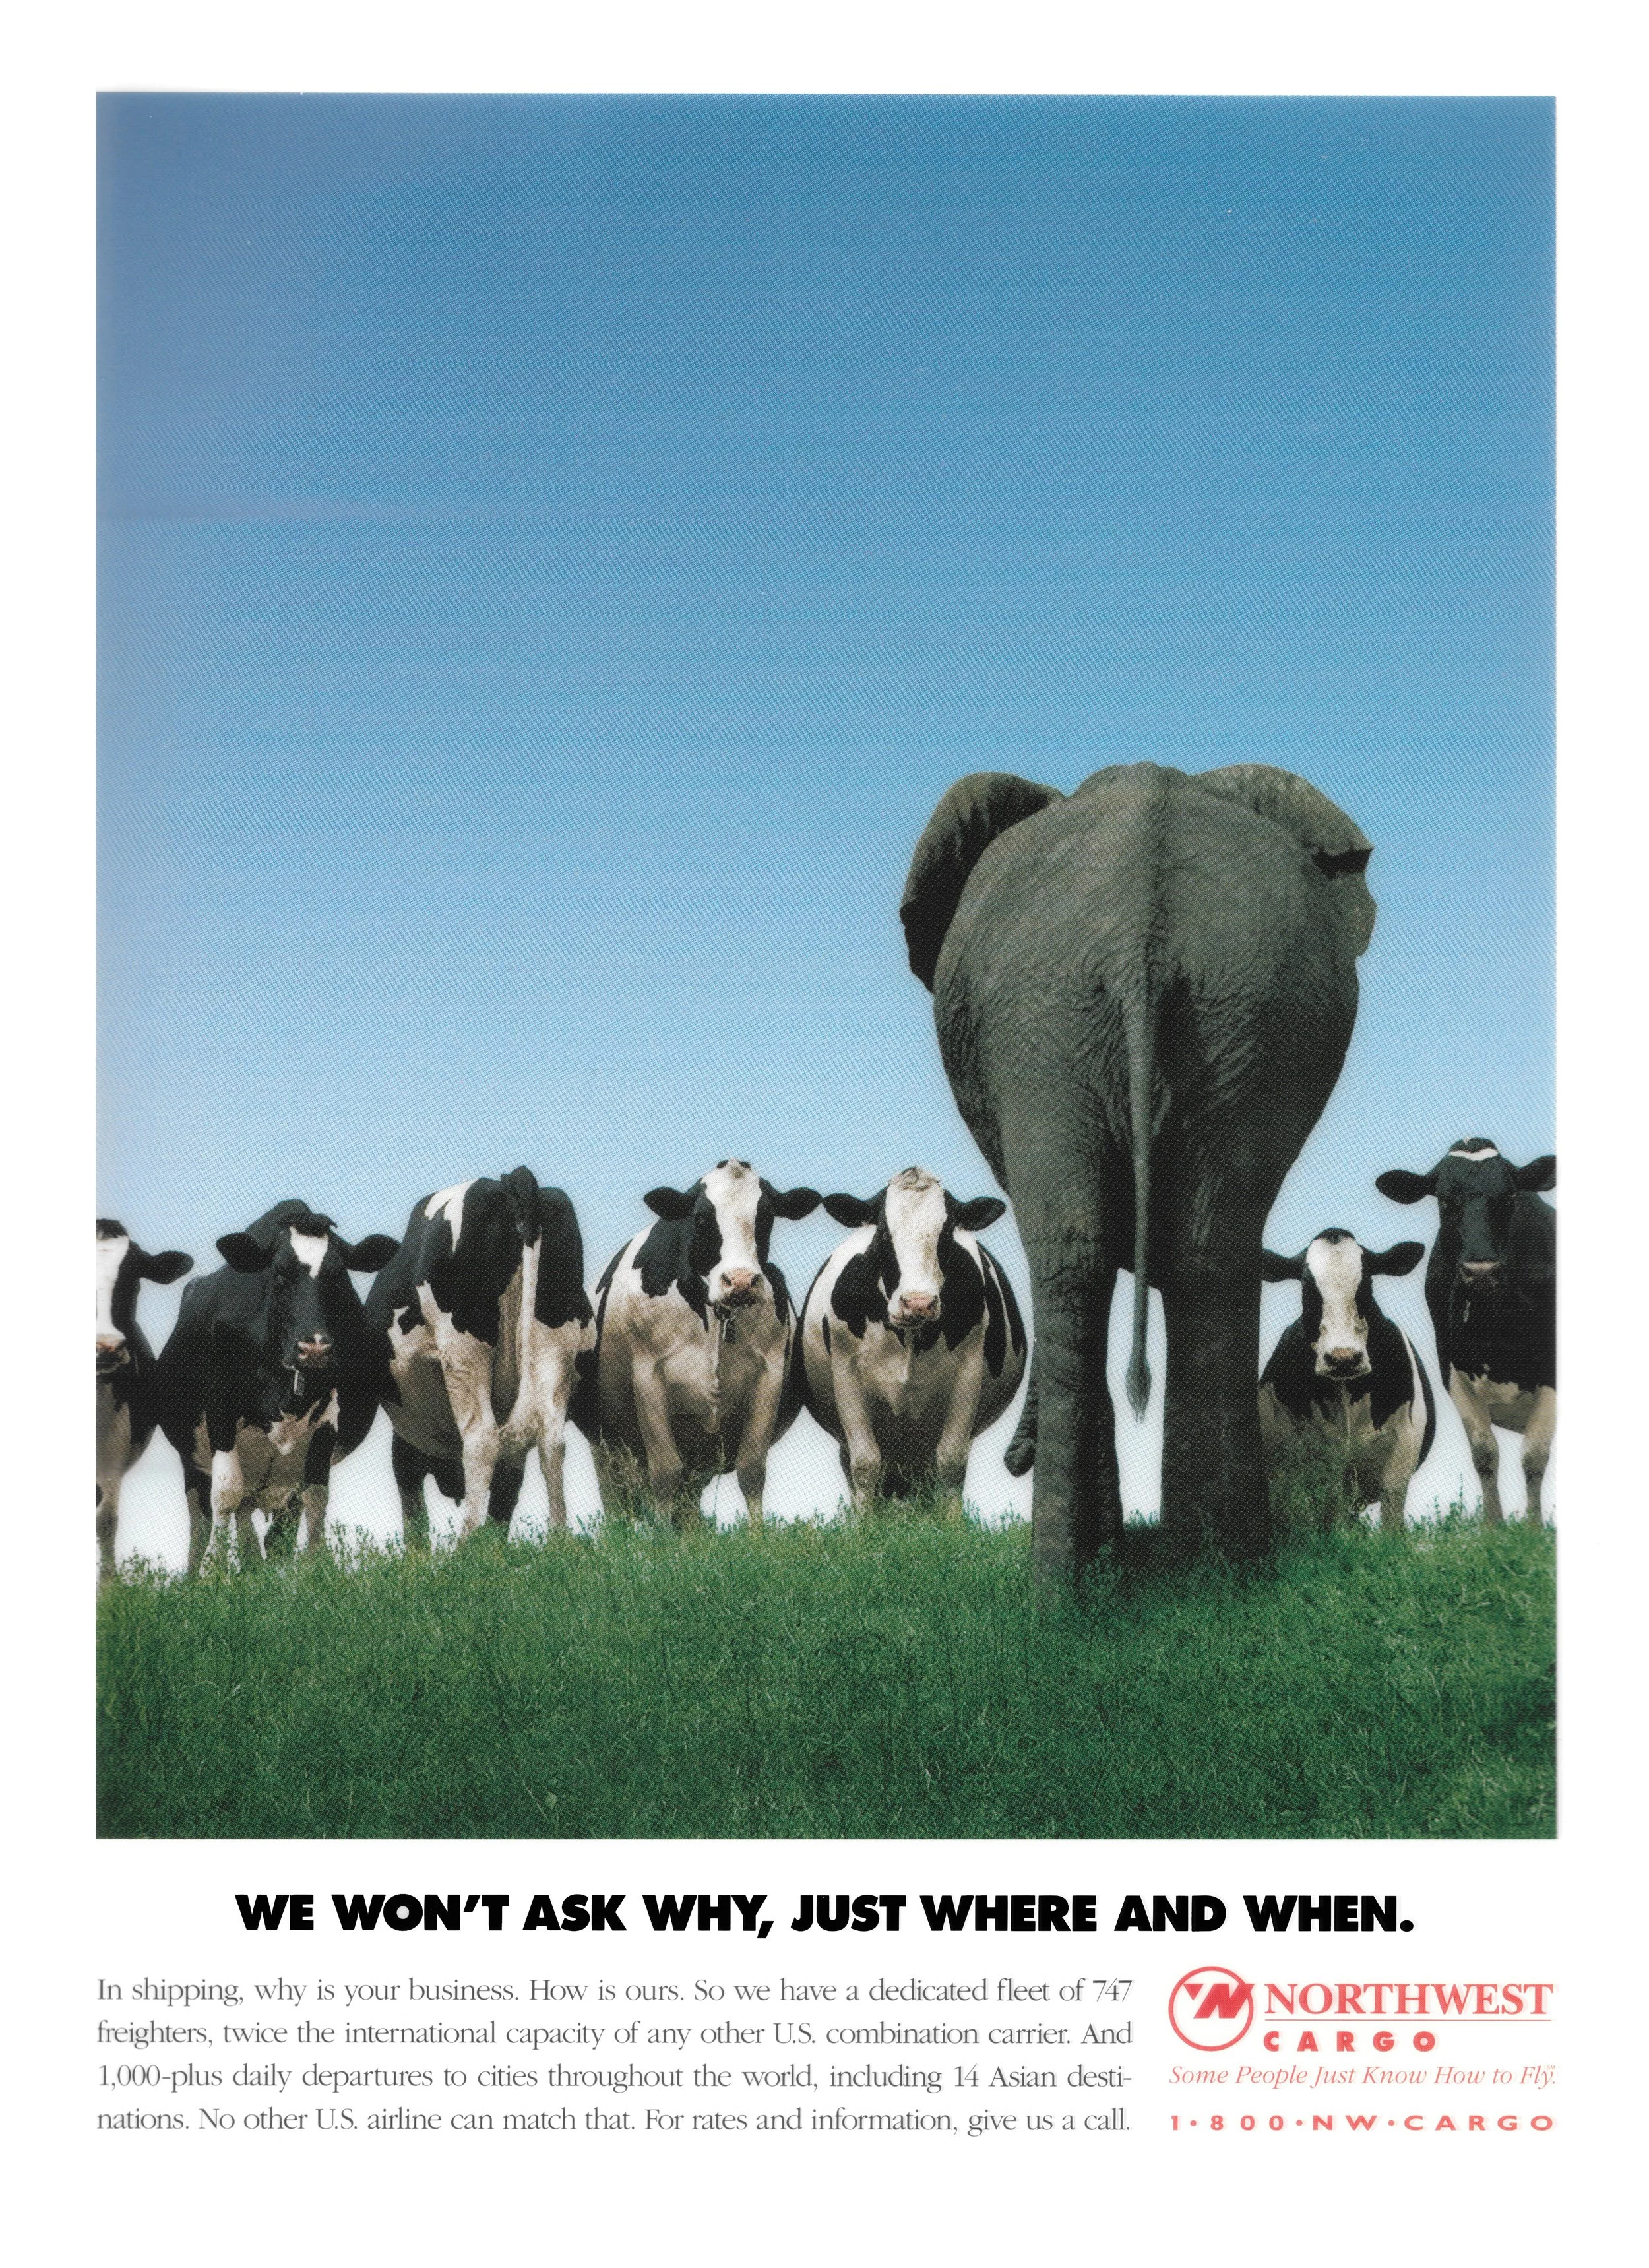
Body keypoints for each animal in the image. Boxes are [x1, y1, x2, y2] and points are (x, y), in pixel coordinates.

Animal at [900, 761, 1376, 1597]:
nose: (1010, 1459)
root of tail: (1140, 939)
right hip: (1208, 1014)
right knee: (1187, 1253)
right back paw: (1193, 1584)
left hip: (1078, 1018)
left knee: (1096, 1256)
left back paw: (1097, 1593)